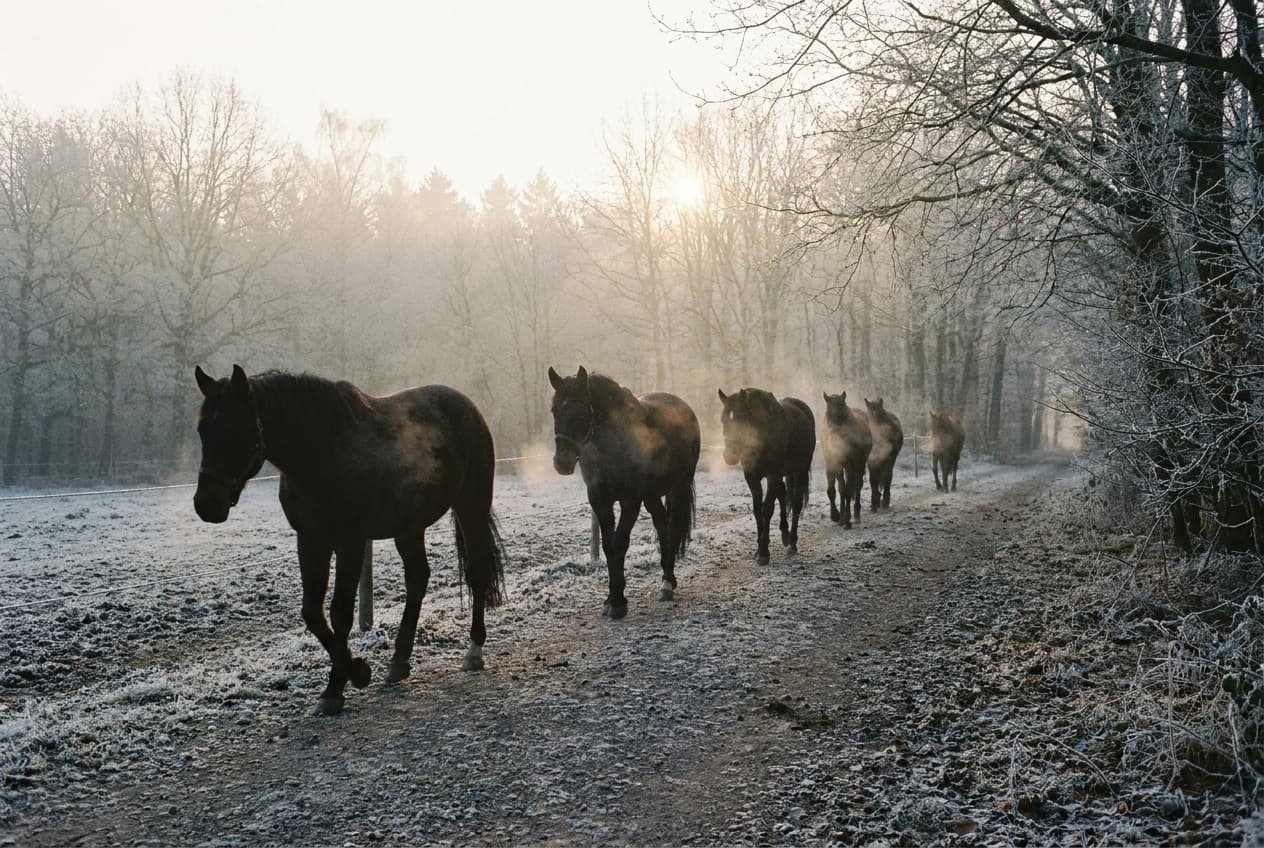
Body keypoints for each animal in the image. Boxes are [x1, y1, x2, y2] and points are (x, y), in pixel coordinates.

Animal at [192, 365, 506, 716]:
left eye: (238, 428)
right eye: (203, 429)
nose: (206, 504)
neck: (322, 455)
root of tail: (467, 407)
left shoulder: (350, 542)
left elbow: (340, 612)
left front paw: (337, 686)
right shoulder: (311, 540)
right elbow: (312, 613)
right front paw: (355, 670)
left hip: (471, 506)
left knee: (476, 572)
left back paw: (474, 651)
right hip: (409, 526)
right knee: (417, 579)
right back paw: (399, 661)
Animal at [548, 366, 700, 619]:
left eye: (581, 411)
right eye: (554, 410)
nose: (562, 462)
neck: (611, 446)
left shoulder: (630, 501)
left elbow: (620, 543)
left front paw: (618, 602)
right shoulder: (600, 500)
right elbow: (609, 546)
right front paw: (611, 598)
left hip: (679, 486)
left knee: (673, 526)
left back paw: (668, 582)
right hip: (651, 495)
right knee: (662, 524)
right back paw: (666, 579)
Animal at [717, 388, 815, 564]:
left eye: (741, 420)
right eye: (723, 420)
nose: (729, 456)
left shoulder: (773, 474)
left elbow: (767, 509)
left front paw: (764, 552)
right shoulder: (751, 476)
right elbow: (757, 510)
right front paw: (759, 548)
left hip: (800, 470)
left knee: (796, 503)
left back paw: (792, 543)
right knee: (783, 494)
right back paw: (785, 533)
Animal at [822, 392, 872, 528]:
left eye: (842, 414)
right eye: (828, 414)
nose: (833, 439)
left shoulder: (850, 466)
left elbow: (848, 490)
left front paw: (847, 518)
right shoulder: (831, 464)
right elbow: (833, 491)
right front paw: (835, 516)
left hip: (859, 464)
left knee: (857, 485)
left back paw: (856, 515)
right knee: (842, 488)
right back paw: (841, 518)